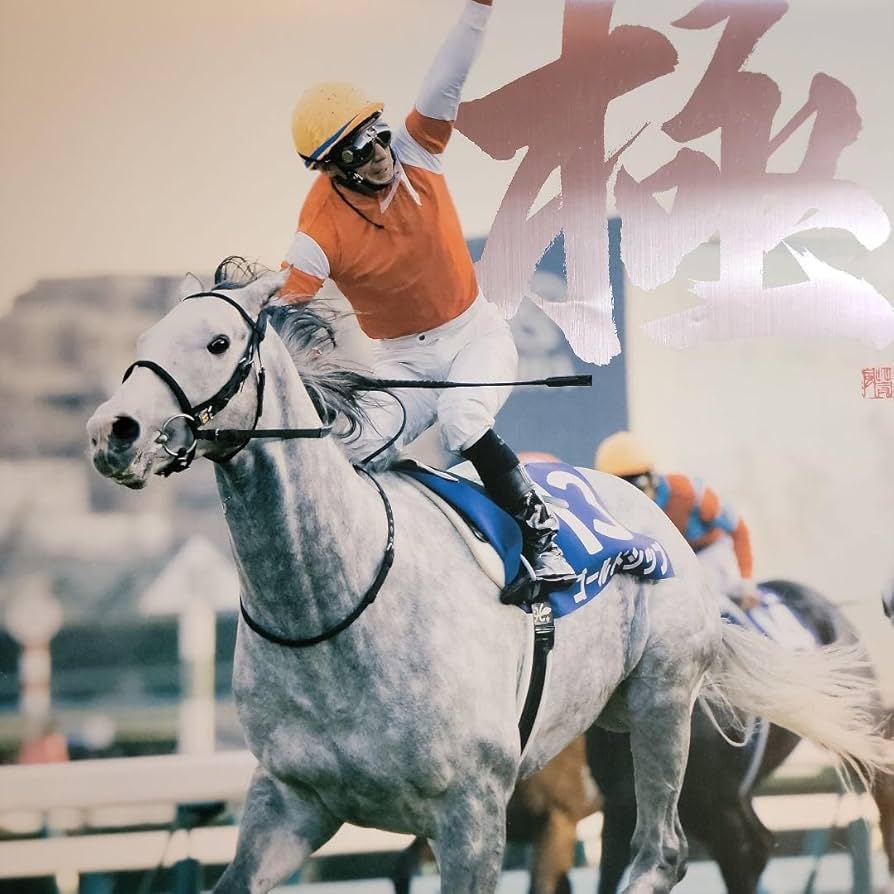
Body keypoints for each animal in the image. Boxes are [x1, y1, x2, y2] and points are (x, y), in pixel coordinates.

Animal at [86, 266, 894, 894]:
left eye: (217, 344)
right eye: (141, 347)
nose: (113, 432)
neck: (332, 608)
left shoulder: (474, 810)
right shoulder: (291, 800)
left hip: (664, 702)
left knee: (667, 853)